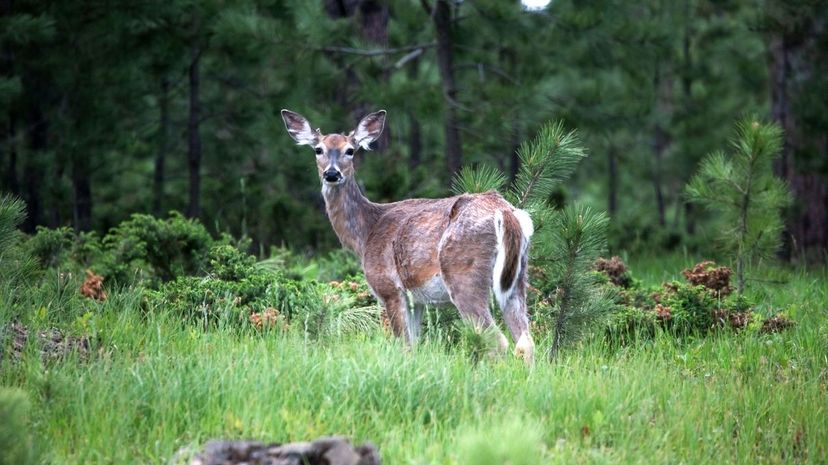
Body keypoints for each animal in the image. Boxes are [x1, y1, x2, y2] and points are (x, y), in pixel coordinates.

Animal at [280, 109, 536, 362]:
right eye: (318, 149)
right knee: (525, 341)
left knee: (497, 341)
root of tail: (504, 211)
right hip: (517, 277)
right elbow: (414, 344)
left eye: (350, 150)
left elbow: (404, 345)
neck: (366, 233)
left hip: (464, 273)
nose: (332, 174)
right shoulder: (417, 299)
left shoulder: (389, 287)